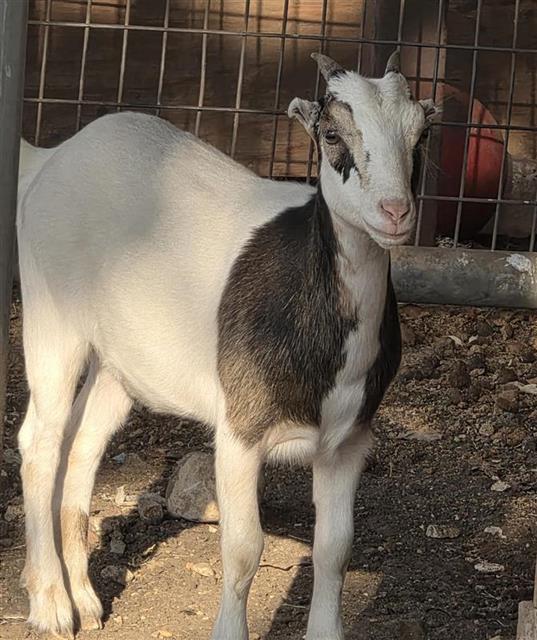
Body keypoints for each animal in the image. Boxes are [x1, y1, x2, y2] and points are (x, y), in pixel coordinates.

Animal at [16, 52, 437, 640]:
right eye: (332, 134)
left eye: (421, 133)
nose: (395, 211)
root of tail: (51, 157)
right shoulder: (240, 428)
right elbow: (242, 549)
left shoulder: (348, 440)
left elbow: (334, 549)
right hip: (51, 314)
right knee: (40, 440)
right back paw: (51, 606)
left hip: (121, 361)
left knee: (82, 442)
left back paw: (85, 600)